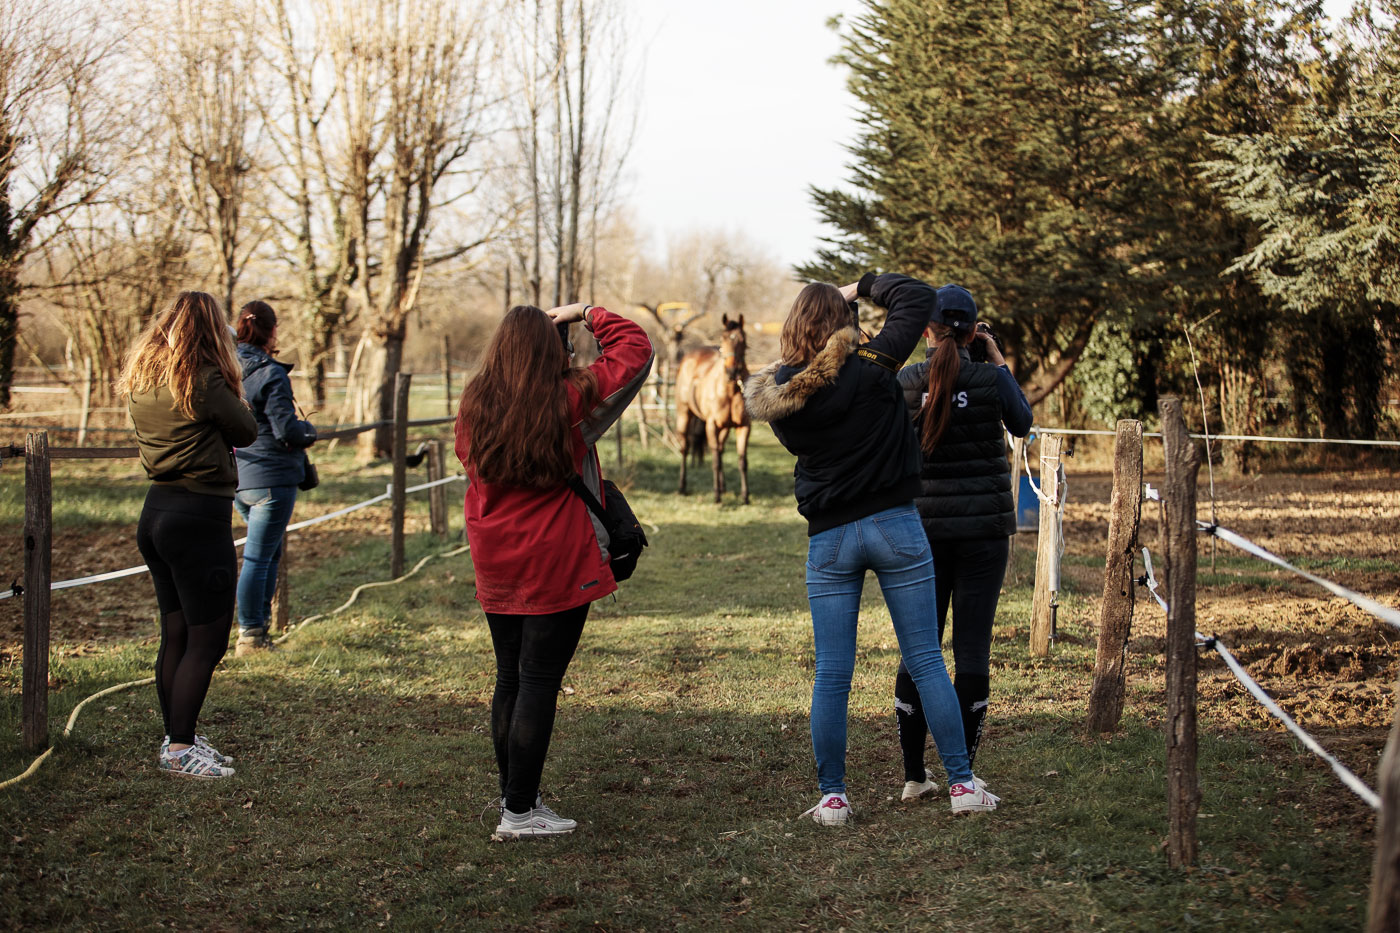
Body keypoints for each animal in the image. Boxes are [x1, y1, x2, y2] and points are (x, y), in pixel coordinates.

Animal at [674, 312, 750, 501]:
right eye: (723, 338)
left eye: (742, 339)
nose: (732, 371)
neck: (730, 390)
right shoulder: (711, 425)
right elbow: (715, 461)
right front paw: (716, 495)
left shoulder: (743, 426)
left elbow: (742, 460)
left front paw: (745, 496)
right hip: (684, 414)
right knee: (685, 448)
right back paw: (682, 487)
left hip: (724, 428)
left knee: (721, 450)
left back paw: (723, 487)